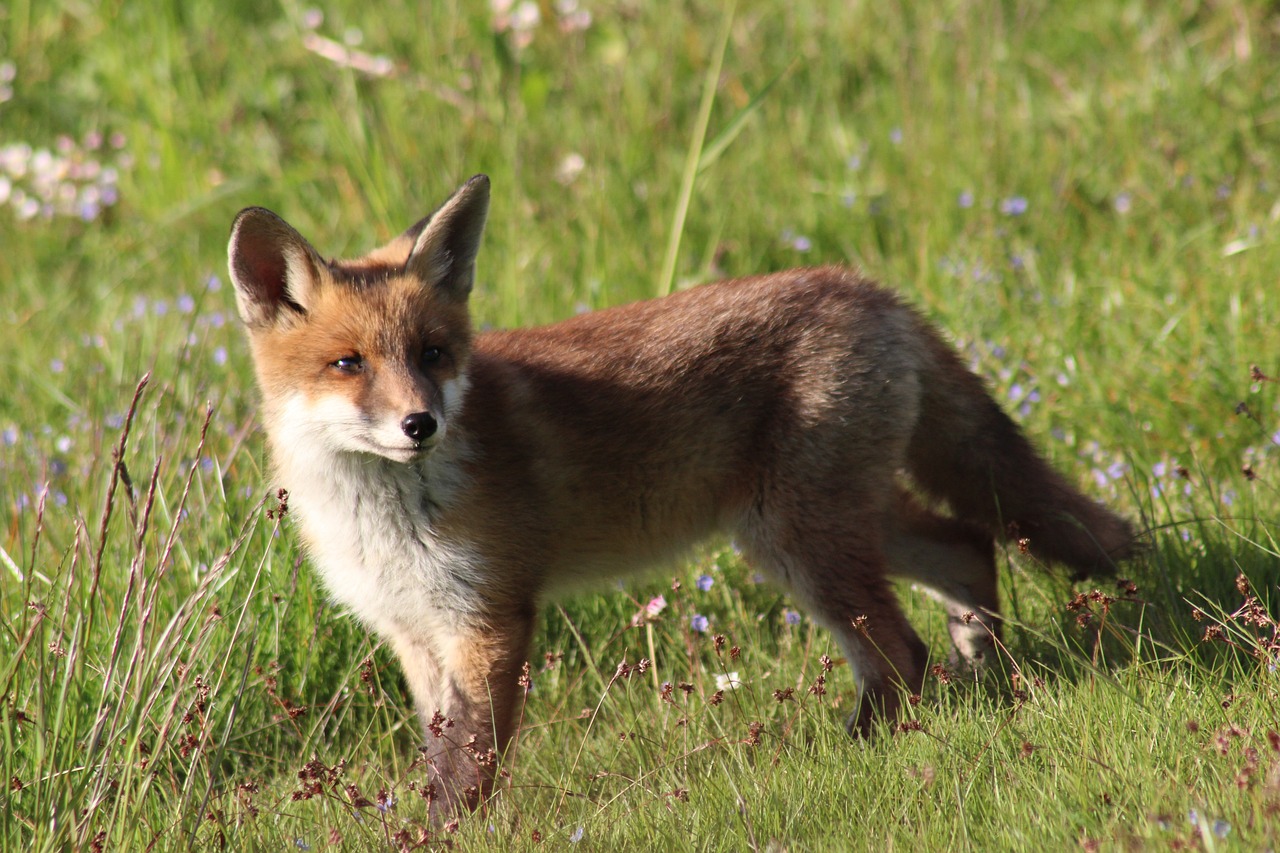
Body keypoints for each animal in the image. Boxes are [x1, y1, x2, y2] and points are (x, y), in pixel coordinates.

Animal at [227, 174, 1134, 816]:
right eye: (349, 363)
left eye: (434, 352)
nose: (421, 423)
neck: (381, 520)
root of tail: (867, 287)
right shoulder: (414, 632)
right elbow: (438, 754)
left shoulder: (489, 619)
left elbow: (467, 771)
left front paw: (446, 834)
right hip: (833, 520)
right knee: (968, 546)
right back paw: (989, 675)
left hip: (796, 540)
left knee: (901, 650)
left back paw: (868, 749)